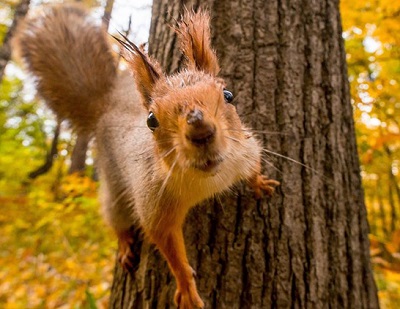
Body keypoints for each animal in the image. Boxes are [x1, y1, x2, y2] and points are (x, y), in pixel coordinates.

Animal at [14, 3, 278, 308]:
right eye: (152, 120)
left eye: (228, 94)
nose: (200, 132)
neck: (209, 178)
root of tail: (104, 107)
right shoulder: (154, 201)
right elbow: (167, 244)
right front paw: (187, 288)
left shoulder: (243, 150)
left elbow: (254, 164)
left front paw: (260, 183)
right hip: (114, 185)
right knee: (115, 215)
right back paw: (125, 244)